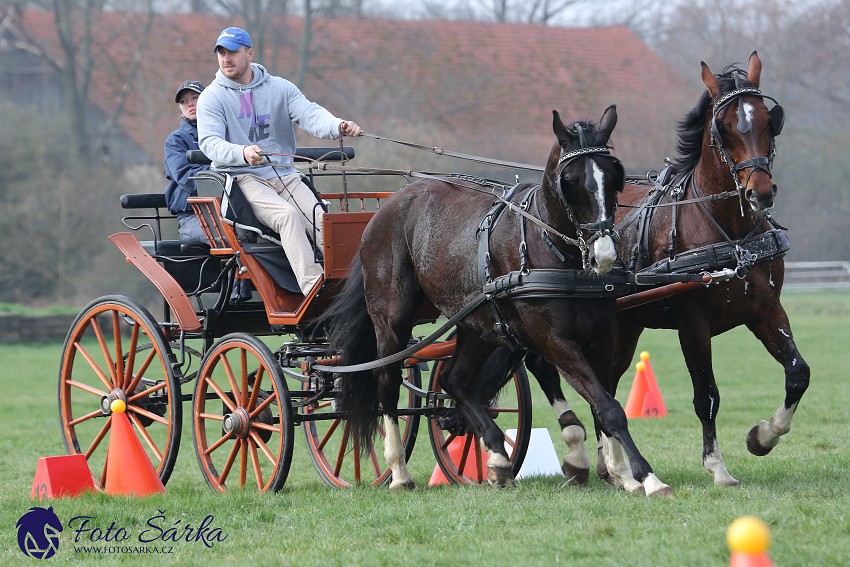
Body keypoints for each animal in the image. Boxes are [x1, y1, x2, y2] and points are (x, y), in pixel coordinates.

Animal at [322, 106, 664, 496]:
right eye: (571, 180)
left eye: (614, 176)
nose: (604, 253)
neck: (551, 246)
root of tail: (386, 208)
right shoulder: (554, 340)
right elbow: (608, 408)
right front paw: (646, 477)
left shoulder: (602, 337)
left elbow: (605, 405)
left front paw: (623, 473)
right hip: (391, 321)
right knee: (388, 384)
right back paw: (399, 472)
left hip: (477, 324)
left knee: (455, 380)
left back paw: (498, 456)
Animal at [528, 51, 800, 490]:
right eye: (724, 128)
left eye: (767, 119)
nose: (760, 192)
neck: (729, 233)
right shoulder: (693, 324)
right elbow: (707, 395)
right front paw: (717, 467)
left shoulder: (766, 310)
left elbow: (797, 373)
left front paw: (763, 436)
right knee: (568, 377)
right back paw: (592, 461)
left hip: (623, 329)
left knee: (604, 384)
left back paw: (610, 467)